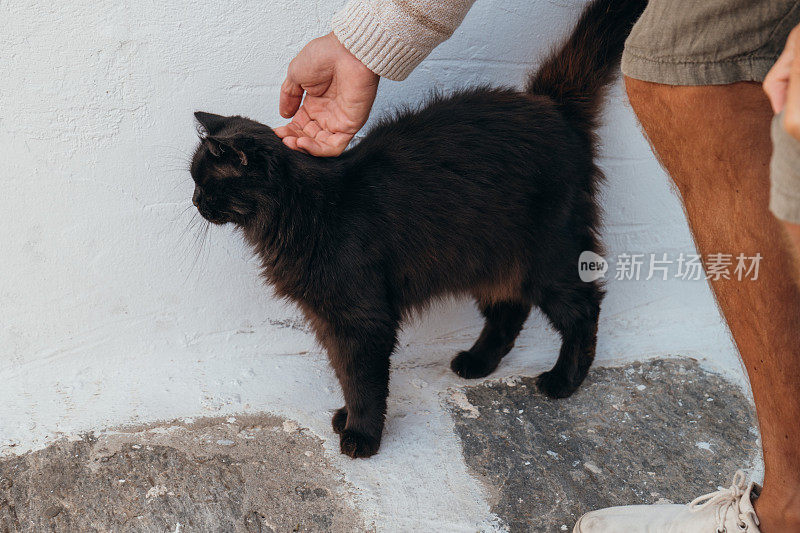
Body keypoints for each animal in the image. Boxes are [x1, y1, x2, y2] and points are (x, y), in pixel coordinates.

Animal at [191, 0, 648, 458]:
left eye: (206, 183)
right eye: (194, 182)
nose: (195, 202)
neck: (305, 208)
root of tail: (548, 105)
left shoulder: (363, 318)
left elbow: (364, 381)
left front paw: (362, 434)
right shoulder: (329, 318)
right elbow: (345, 372)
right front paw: (346, 417)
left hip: (548, 256)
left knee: (584, 308)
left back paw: (563, 381)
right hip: (487, 257)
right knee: (509, 309)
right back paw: (477, 363)